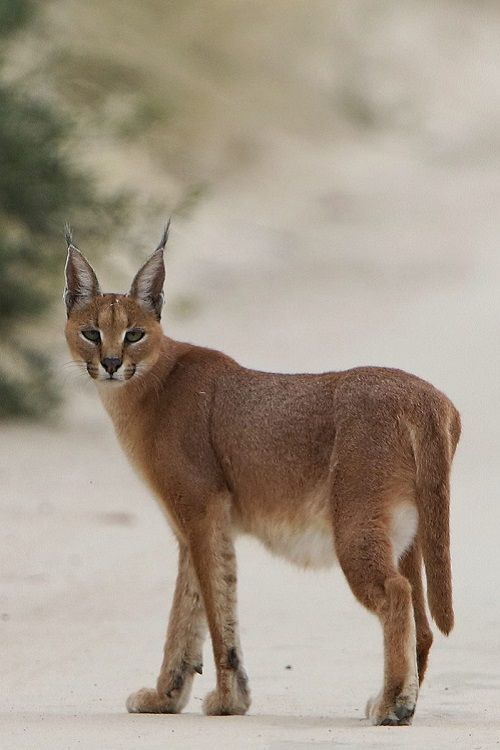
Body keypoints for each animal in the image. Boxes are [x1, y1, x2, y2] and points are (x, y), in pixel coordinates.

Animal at [63, 225, 460, 728]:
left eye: (133, 334)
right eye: (91, 333)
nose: (112, 363)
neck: (145, 385)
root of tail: (426, 395)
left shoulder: (201, 512)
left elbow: (215, 613)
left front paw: (227, 700)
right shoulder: (194, 525)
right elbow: (188, 611)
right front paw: (167, 697)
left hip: (355, 524)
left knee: (396, 593)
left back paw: (393, 704)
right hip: (408, 535)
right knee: (423, 625)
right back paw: (401, 701)